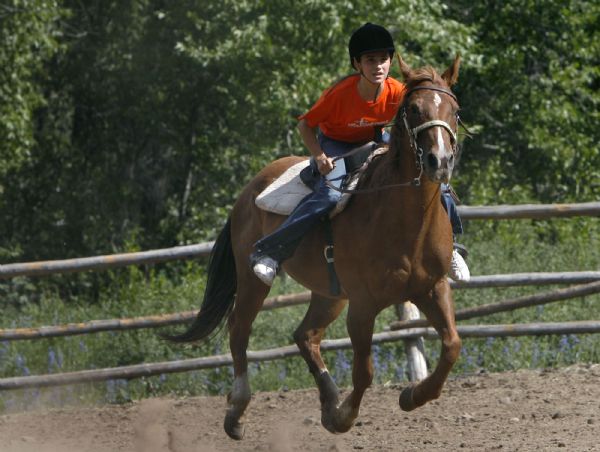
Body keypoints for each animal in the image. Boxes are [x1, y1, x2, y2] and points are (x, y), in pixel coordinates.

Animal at [169, 54, 464, 440]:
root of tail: (250, 189)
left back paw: (328, 400)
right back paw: (237, 412)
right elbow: (364, 371)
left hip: (330, 293)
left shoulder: (433, 288)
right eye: (414, 109)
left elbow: (451, 346)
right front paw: (345, 417)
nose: (439, 161)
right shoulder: (363, 305)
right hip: (253, 282)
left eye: (455, 111)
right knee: (239, 329)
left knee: (305, 335)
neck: (404, 221)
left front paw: (411, 395)